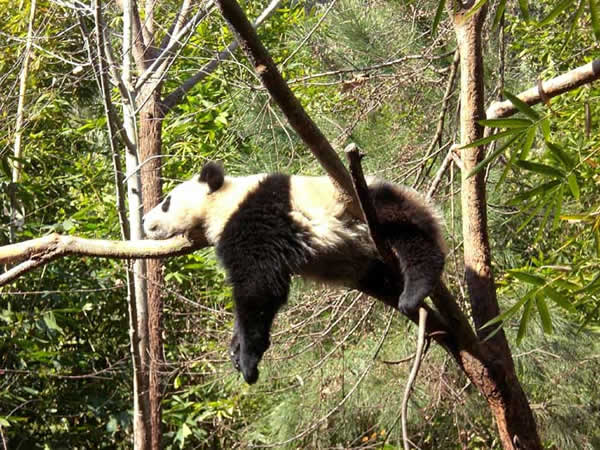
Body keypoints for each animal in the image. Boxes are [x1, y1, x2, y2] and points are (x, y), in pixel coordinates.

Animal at [144, 162, 446, 384]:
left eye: (166, 202)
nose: (146, 221)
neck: (222, 200)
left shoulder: (254, 215)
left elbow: (258, 286)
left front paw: (248, 359)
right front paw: (235, 350)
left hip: (364, 203)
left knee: (407, 229)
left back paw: (414, 290)